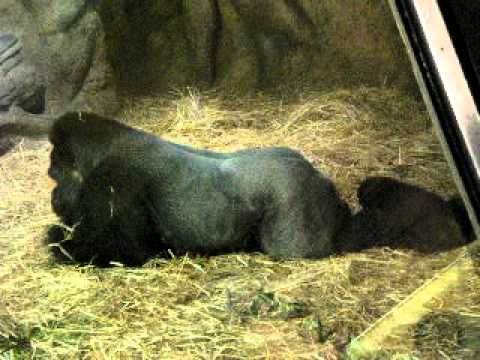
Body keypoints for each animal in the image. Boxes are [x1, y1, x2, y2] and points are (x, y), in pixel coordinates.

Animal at [45, 112, 350, 268]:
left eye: (54, 175)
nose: (54, 198)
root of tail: (321, 178)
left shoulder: (114, 184)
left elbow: (118, 249)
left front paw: (56, 238)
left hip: (297, 199)